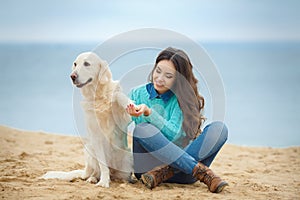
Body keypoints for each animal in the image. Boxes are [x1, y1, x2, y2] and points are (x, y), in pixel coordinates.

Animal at [42, 51, 132, 188]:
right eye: (75, 64)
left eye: (87, 64)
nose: (72, 76)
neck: (98, 96)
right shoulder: (96, 137)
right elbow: (103, 166)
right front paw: (103, 182)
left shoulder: (123, 120)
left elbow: (117, 96)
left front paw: (127, 102)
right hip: (89, 150)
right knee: (93, 173)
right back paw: (93, 179)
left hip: (127, 159)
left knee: (120, 176)